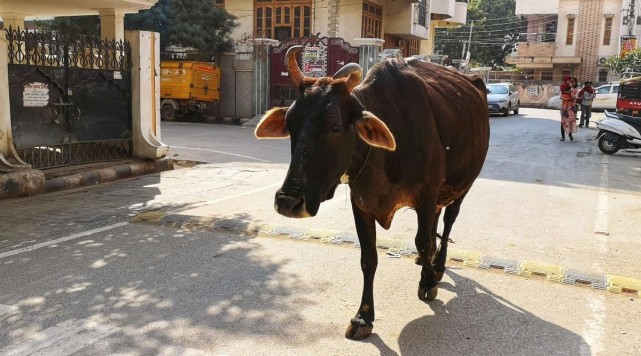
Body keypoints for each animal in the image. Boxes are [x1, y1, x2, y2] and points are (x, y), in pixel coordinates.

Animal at [252, 46, 488, 340]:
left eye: (335, 126)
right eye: (290, 123)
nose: (288, 201)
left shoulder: (426, 196)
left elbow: (422, 239)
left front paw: (428, 282)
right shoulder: (361, 204)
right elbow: (368, 258)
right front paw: (364, 317)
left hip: (464, 186)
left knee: (447, 222)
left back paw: (438, 264)